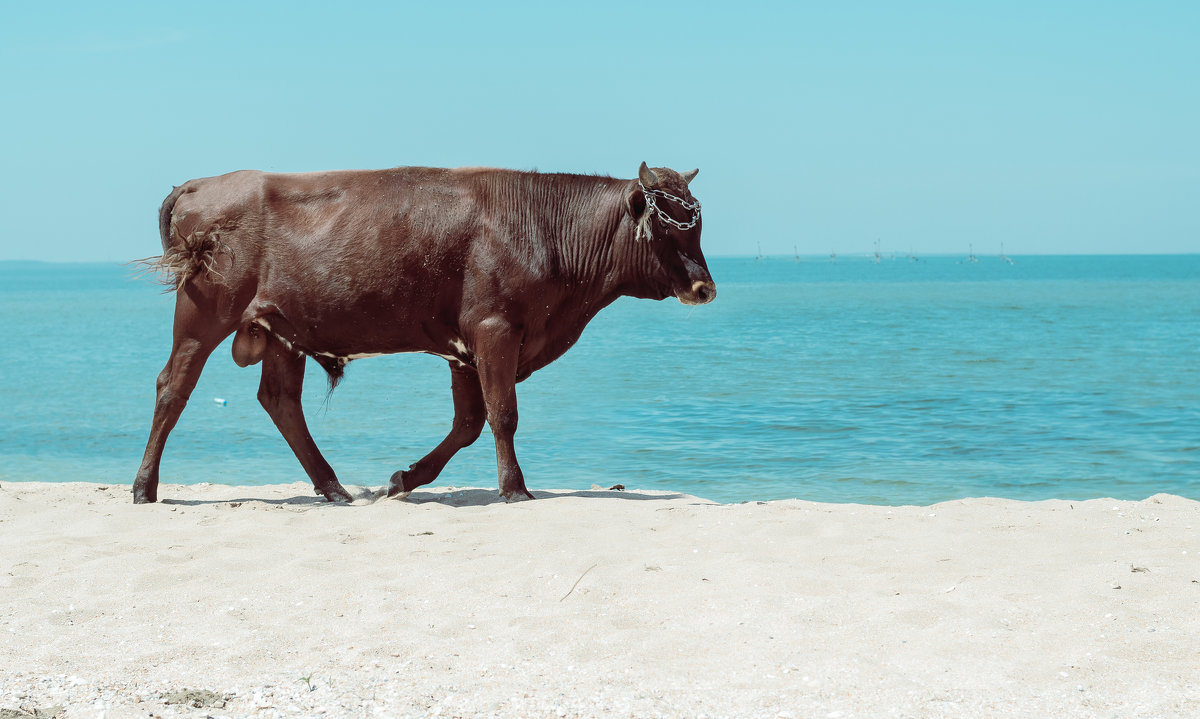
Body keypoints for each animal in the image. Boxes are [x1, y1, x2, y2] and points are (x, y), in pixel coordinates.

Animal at [133, 162, 710, 506]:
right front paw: (515, 489)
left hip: (281, 332)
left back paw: (334, 487)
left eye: (696, 224)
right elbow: (503, 415)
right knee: (173, 387)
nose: (705, 287)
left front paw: (403, 479)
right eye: (667, 225)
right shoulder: (495, 331)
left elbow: (470, 422)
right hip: (202, 318)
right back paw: (144, 488)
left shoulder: (464, 349)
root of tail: (203, 183)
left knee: (280, 400)